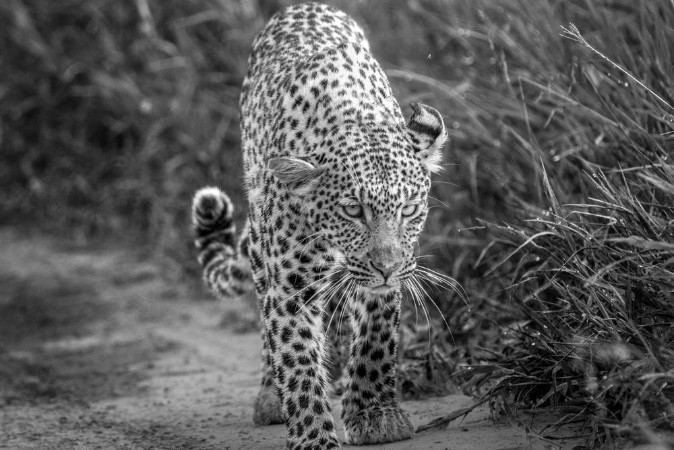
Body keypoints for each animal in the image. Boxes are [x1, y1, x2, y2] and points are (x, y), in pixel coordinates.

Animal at [191, 3, 447, 449]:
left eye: (410, 209)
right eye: (353, 211)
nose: (386, 267)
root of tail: (300, 6)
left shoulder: (388, 279)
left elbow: (376, 339)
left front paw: (375, 416)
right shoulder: (289, 283)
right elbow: (296, 359)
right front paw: (312, 436)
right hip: (260, 248)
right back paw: (269, 398)